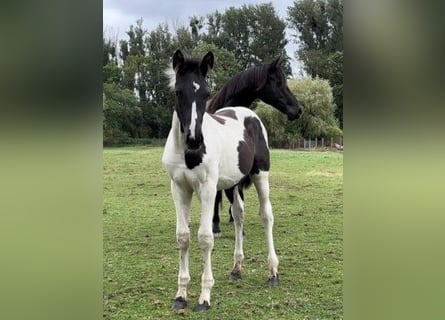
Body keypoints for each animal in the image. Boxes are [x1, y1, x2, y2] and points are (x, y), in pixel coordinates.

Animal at [161, 50, 280, 312]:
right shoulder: (179, 188)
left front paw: (204, 296)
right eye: (178, 92)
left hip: (261, 175)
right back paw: (236, 268)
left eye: (206, 93)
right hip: (232, 184)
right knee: (238, 215)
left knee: (266, 216)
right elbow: (183, 237)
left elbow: (205, 238)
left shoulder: (207, 189)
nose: (195, 140)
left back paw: (273, 272)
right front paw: (180, 295)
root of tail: (250, 114)